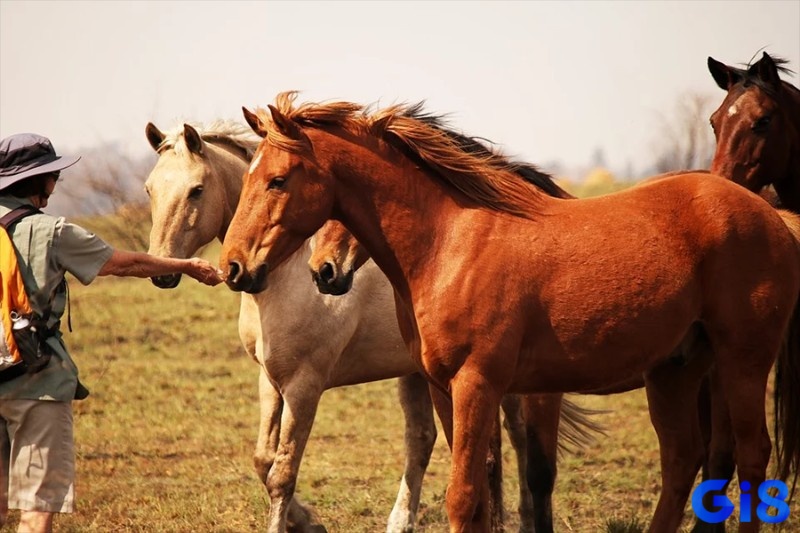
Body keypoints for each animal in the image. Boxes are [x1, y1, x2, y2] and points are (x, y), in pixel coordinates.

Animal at [142, 120, 592, 532]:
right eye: (149, 190)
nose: (162, 271)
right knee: (427, 440)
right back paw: (402, 521)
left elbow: (282, 473)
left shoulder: (304, 384)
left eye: (197, 190)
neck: (288, 273)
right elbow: (263, 461)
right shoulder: (270, 380)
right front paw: (308, 521)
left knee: (515, 440)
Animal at [219, 92, 800, 532]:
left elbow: (464, 496)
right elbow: (481, 493)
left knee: (751, 458)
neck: (450, 242)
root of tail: (770, 215)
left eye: (277, 180)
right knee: (683, 462)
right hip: (676, 370)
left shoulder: (478, 384)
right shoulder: (443, 387)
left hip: (742, 362)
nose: (234, 266)